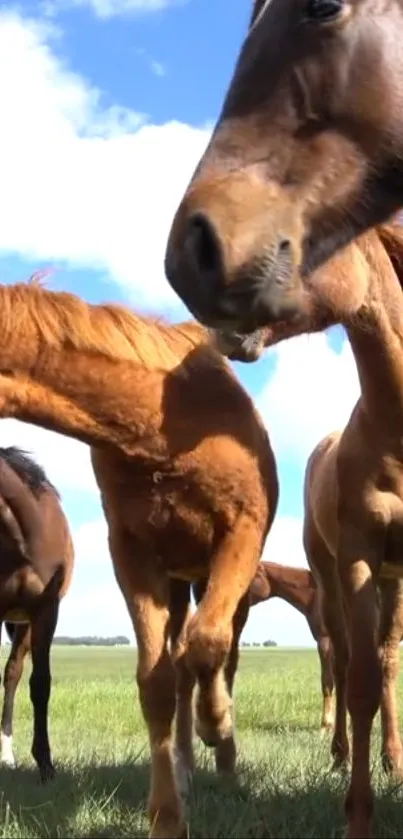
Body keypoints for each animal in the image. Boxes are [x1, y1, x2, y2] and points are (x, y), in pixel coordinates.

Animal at [0, 280, 280, 839]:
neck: (163, 429)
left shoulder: (241, 534)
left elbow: (209, 646)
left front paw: (218, 722)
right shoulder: (132, 554)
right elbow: (157, 681)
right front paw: (166, 816)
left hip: (216, 581)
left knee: (222, 653)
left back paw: (226, 759)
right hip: (176, 582)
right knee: (183, 662)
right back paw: (189, 770)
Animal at [211, 220, 403, 836]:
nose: (222, 319)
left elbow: (383, 669)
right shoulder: (359, 559)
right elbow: (356, 680)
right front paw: (358, 813)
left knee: (384, 660)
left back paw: (391, 757)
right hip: (335, 570)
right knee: (347, 661)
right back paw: (342, 755)